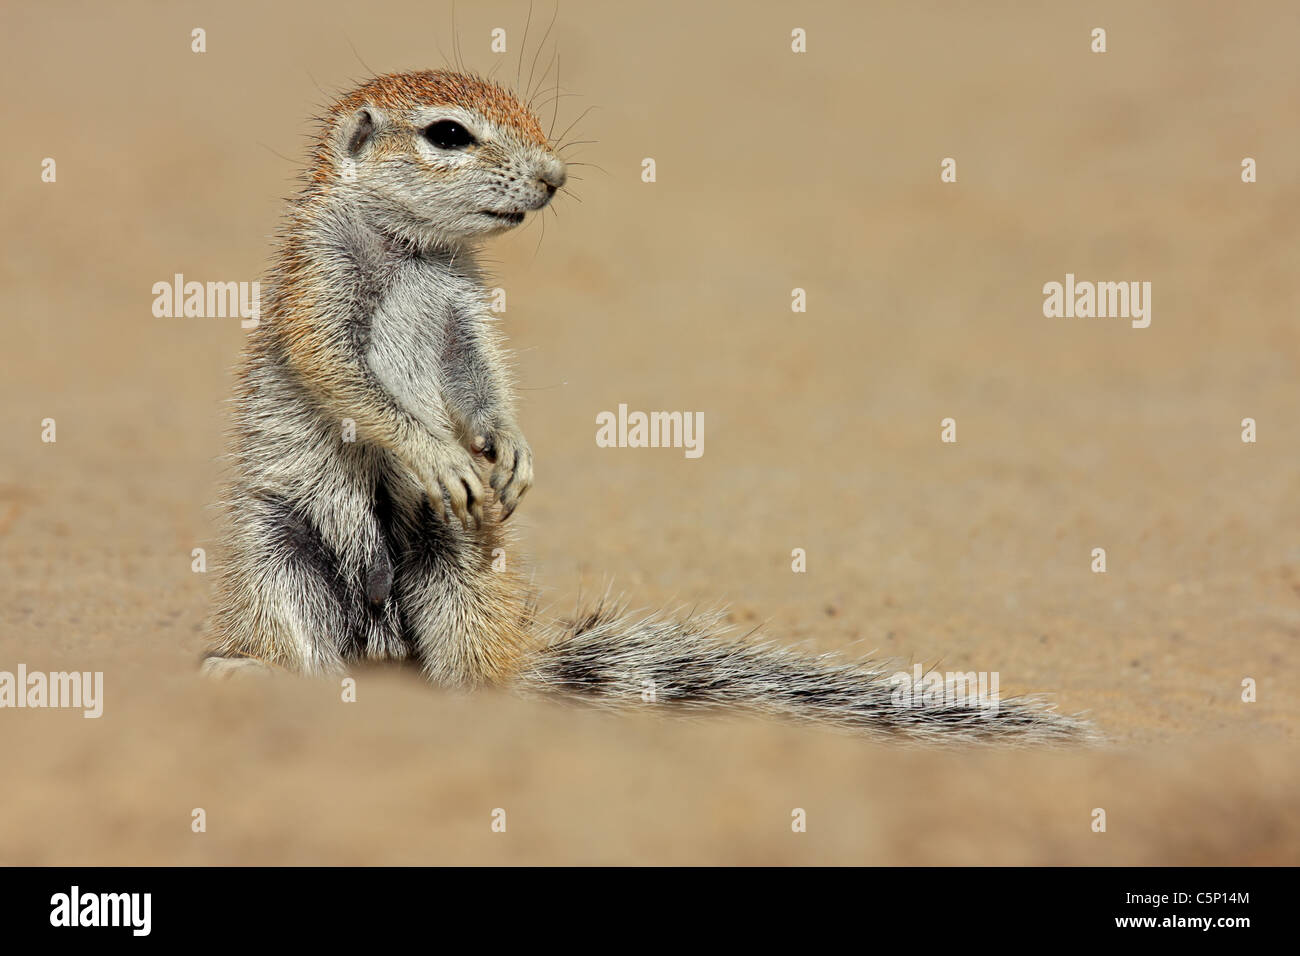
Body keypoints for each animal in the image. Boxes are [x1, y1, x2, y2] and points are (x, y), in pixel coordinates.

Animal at [205, 70, 1097, 749]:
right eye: (448, 134)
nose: (554, 178)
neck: (414, 252)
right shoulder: (316, 297)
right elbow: (349, 385)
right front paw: (440, 454)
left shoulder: (466, 318)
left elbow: (484, 380)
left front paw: (513, 451)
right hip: (278, 553)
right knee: (308, 650)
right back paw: (247, 669)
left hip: (462, 567)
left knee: (468, 674)